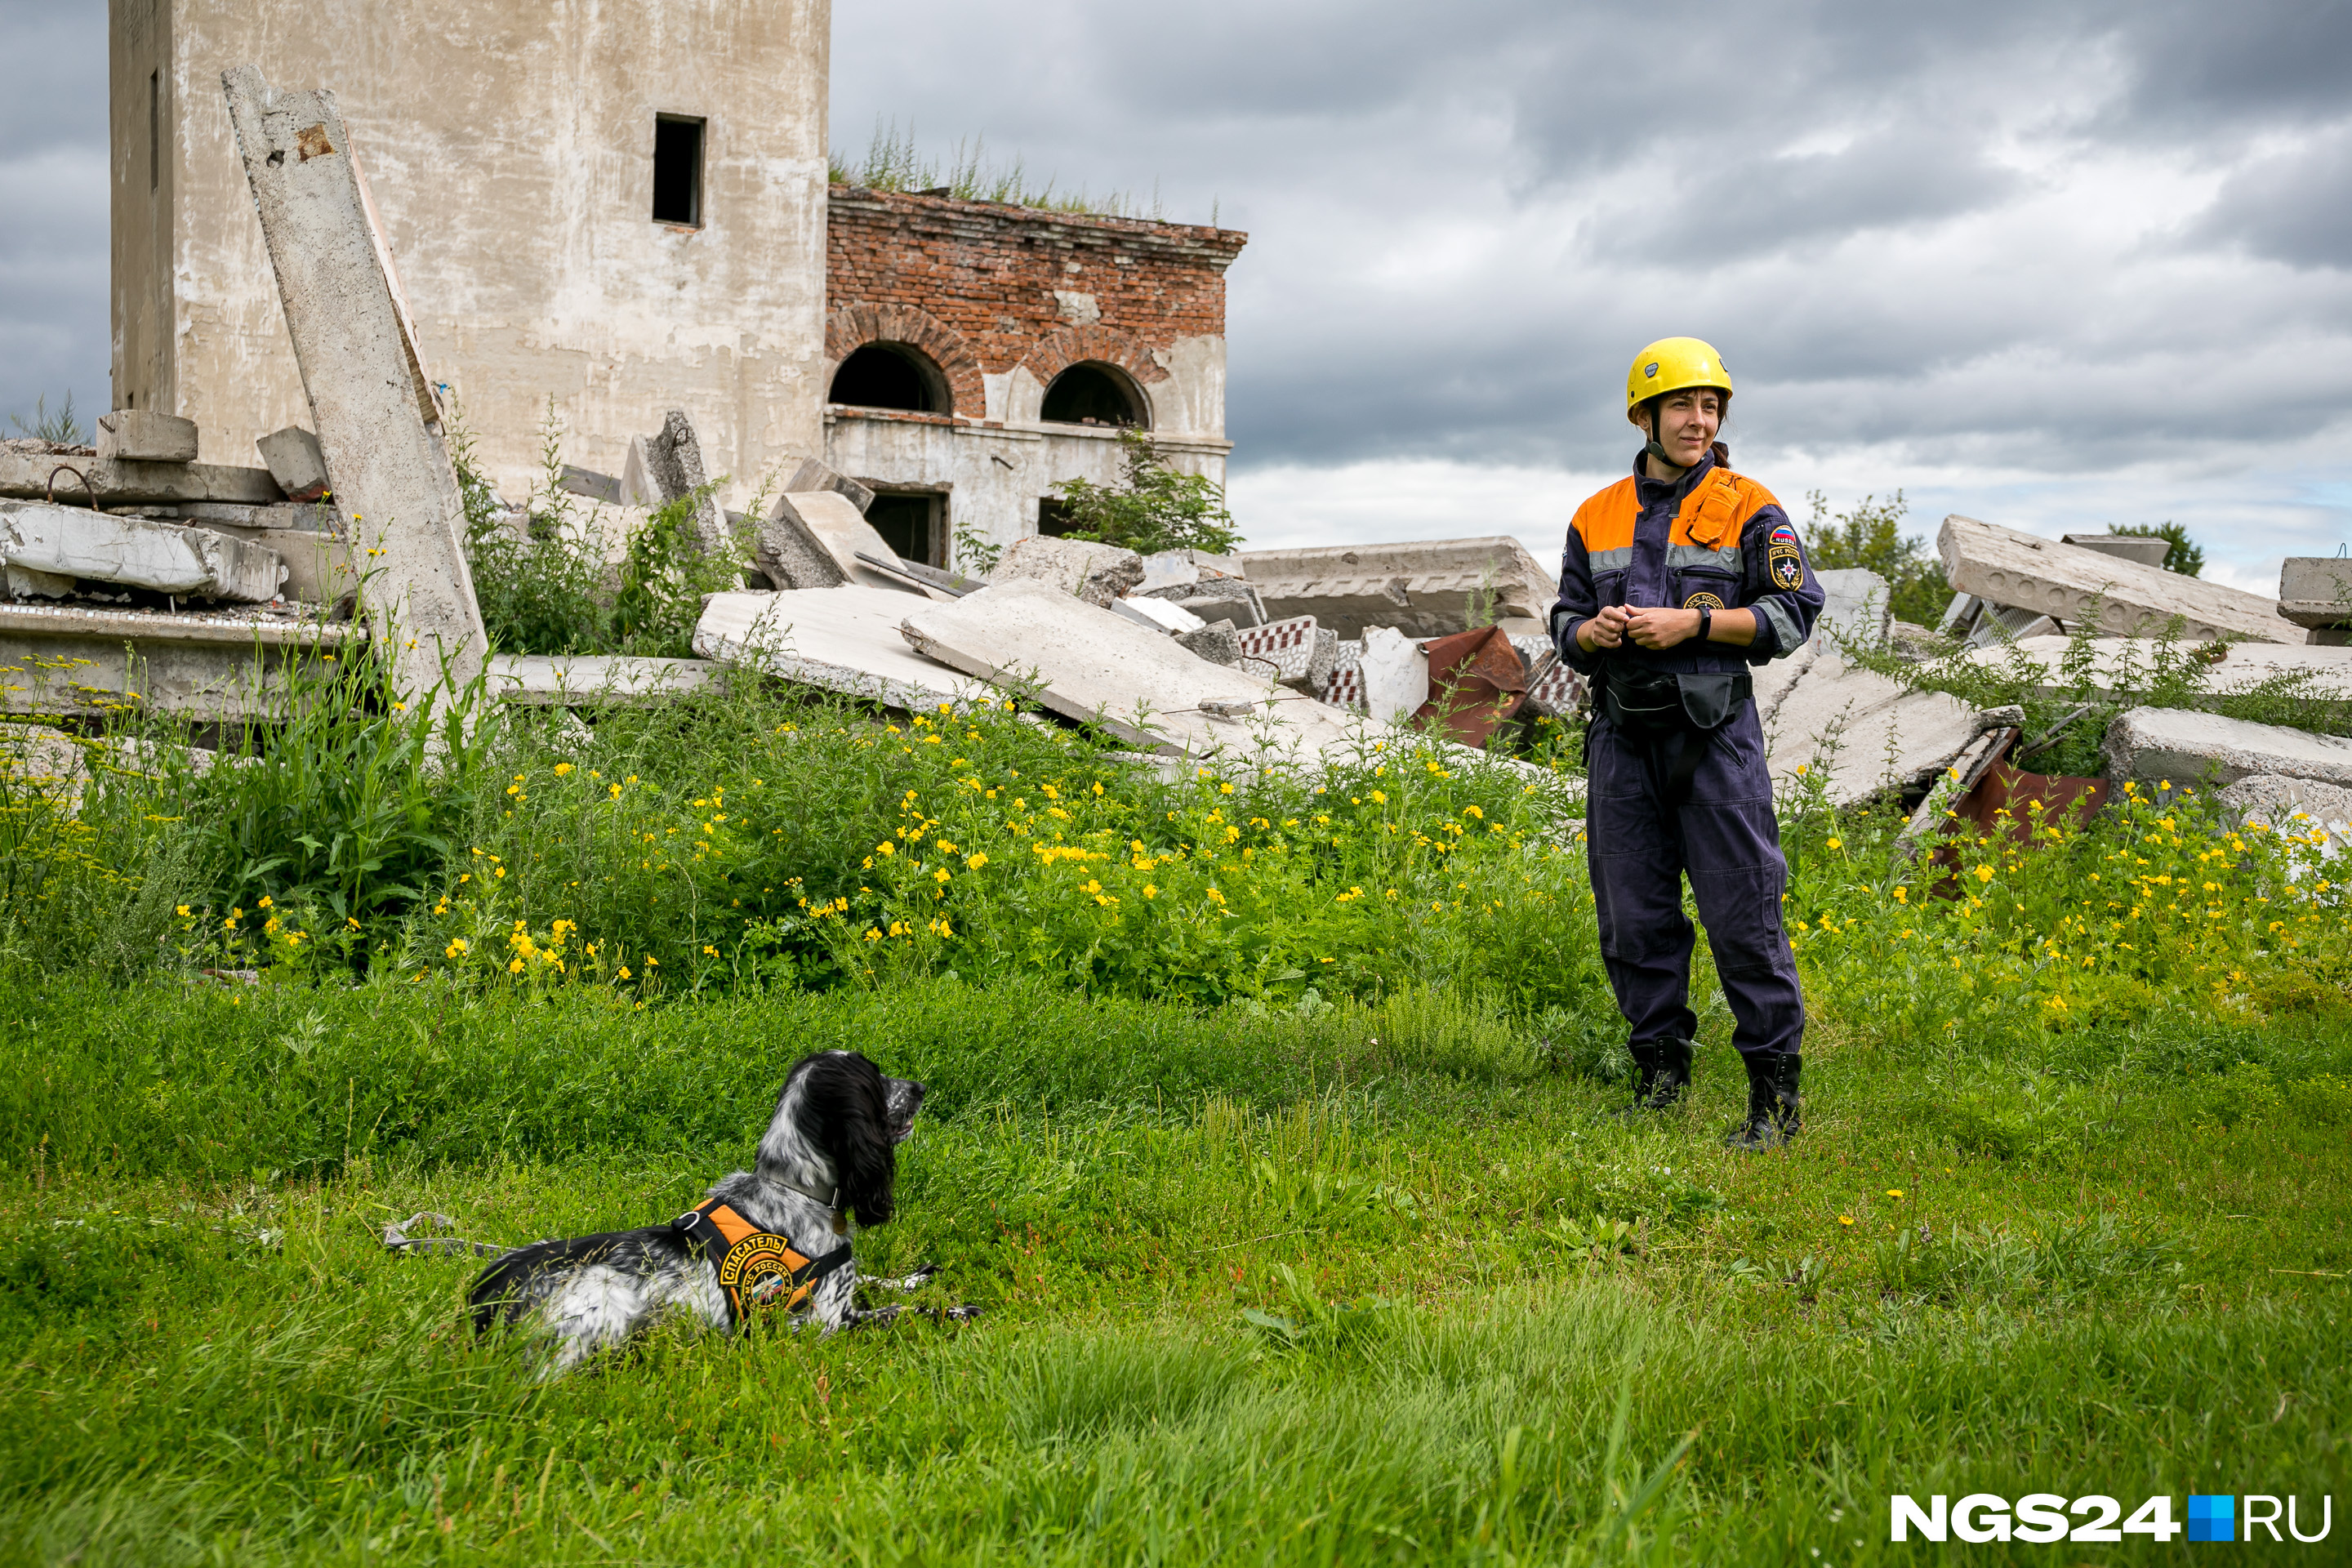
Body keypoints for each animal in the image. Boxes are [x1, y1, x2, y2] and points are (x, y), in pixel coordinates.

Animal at [468, 1053, 964, 1373]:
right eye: (876, 1081)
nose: (920, 1088)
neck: (794, 1190)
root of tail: (484, 1304)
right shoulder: (818, 1326)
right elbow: (900, 1312)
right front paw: (954, 1310)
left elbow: (879, 1281)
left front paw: (915, 1278)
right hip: (605, 1303)